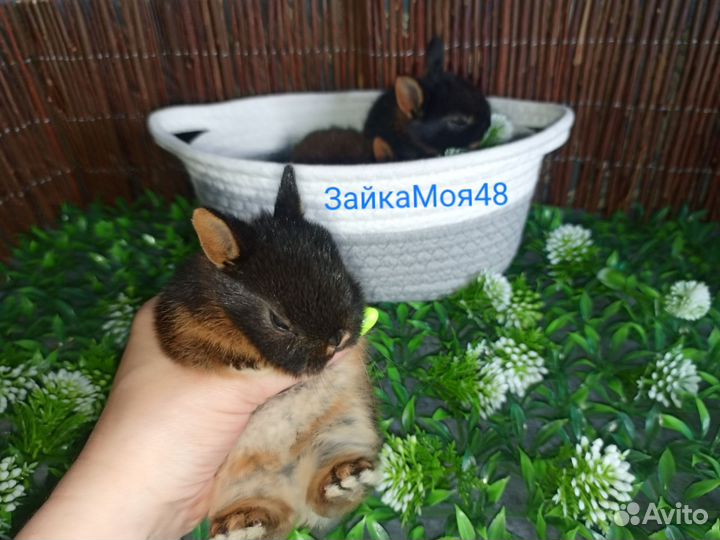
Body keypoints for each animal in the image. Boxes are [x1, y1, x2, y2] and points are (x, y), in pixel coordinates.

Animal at [154, 165, 381, 540]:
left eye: (343, 273)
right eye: (278, 321)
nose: (338, 338)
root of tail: (290, 491)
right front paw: (242, 358)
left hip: (338, 435)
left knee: (322, 499)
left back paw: (346, 479)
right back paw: (242, 525)